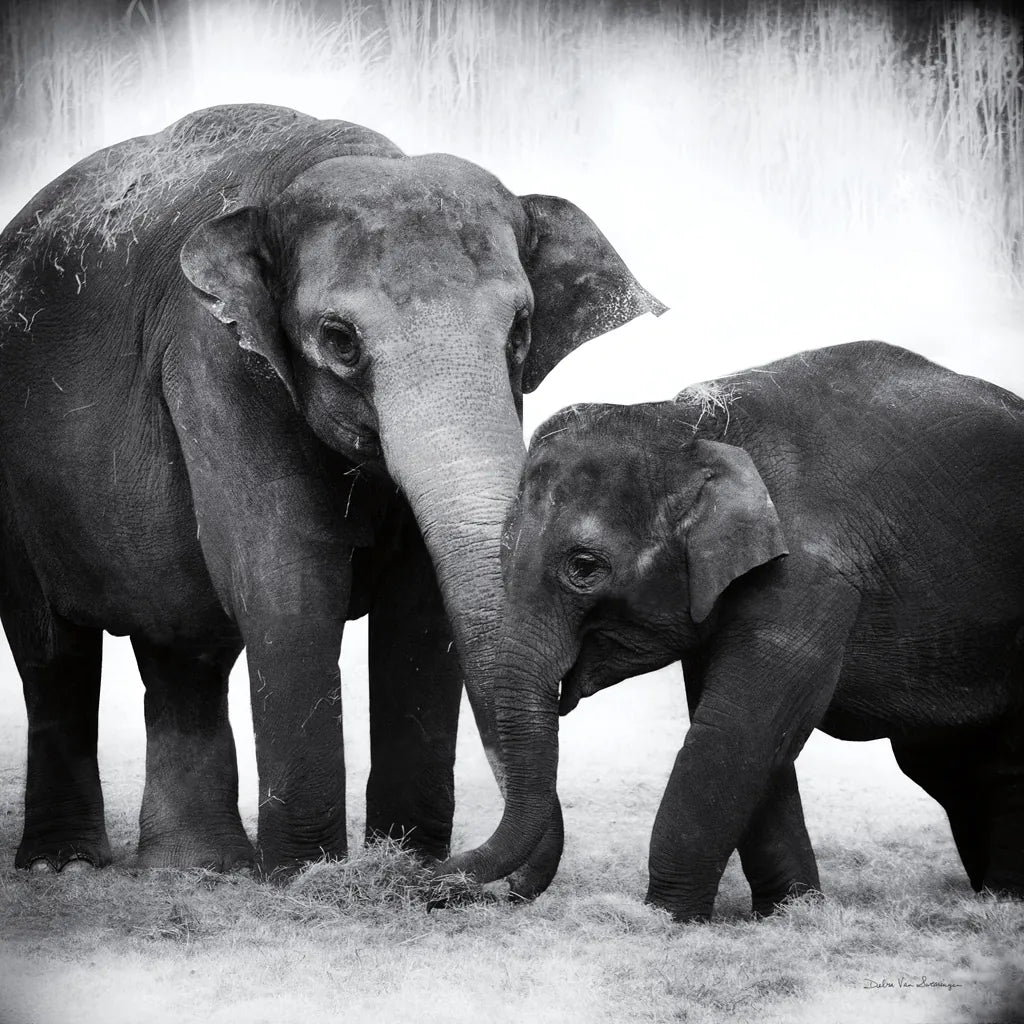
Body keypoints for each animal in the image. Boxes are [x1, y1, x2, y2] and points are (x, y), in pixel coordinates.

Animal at [0, 103, 664, 881]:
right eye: (340, 338)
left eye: (521, 330)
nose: (451, 876)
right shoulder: (216, 359)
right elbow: (287, 581)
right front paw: (307, 877)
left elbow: (421, 604)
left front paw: (402, 861)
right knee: (54, 653)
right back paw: (65, 865)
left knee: (182, 650)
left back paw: (197, 869)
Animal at [440, 340, 1024, 920]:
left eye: (584, 567)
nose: (436, 882)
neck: (693, 425)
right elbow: (751, 741)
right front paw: (788, 915)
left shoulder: (808, 577)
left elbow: (735, 730)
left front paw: (665, 919)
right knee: (952, 768)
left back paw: (1003, 901)